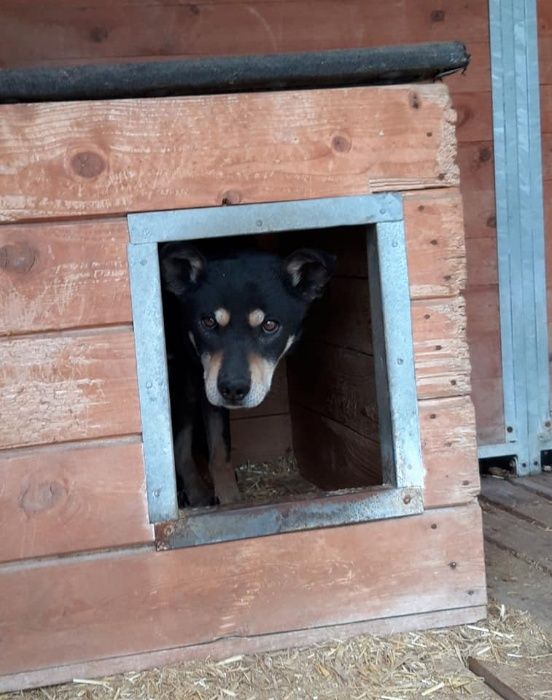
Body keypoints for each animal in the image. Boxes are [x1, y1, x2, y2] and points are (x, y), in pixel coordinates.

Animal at [157, 243, 334, 506]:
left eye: (270, 325)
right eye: (208, 321)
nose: (233, 389)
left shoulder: (206, 383)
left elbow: (219, 450)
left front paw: (229, 499)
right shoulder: (195, 378)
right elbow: (186, 445)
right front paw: (206, 495)